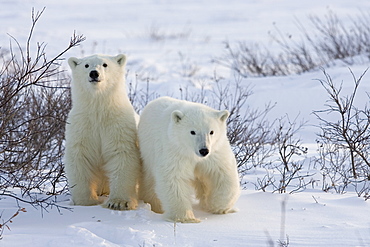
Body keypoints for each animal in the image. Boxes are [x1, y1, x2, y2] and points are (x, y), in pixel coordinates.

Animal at [63, 54, 140, 210]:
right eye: (86, 65)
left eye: (105, 64)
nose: (94, 73)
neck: (98, 109)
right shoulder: (82, 126)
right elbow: (80, 157)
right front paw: (85, 201)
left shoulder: (118, 125)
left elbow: (122, 155)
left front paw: (119, 202)